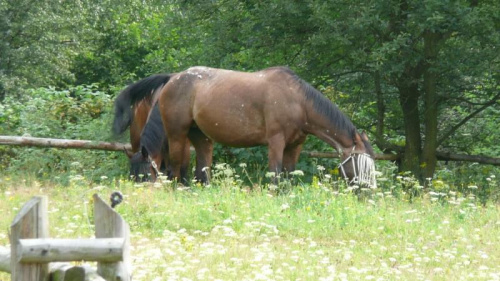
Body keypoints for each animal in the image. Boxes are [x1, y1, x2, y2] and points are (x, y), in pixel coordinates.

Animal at [158, 66, 376, 186]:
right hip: (177, 135)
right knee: (174, 168)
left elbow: (288, 175)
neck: (298, 102)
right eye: (361, 163)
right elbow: (275, 174)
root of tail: (173, 78)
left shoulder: (295, 146)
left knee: (201, 170)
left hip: (201, 137)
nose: (368, 193)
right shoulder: (276, 142)